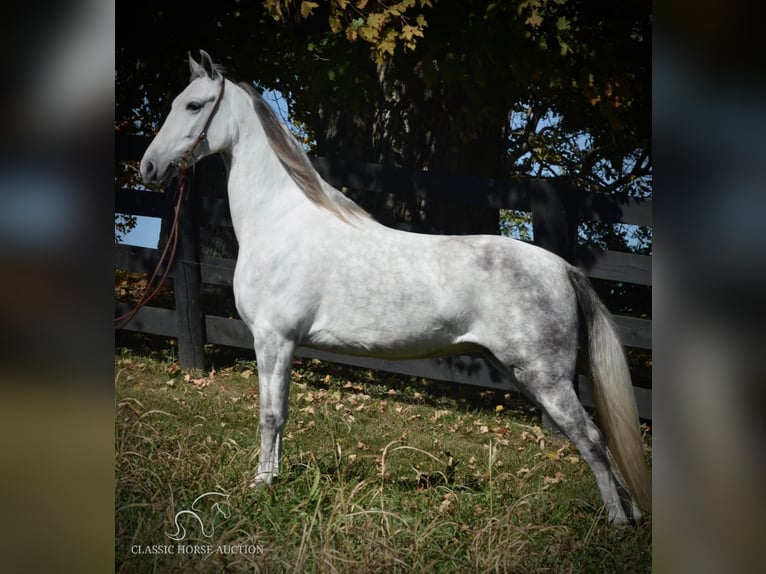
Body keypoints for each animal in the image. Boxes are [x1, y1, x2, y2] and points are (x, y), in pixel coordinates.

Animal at [141, 50, 652, 528]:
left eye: (193, 105)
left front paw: (260, 485)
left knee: (592, 440)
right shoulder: (278, 344)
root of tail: (563, 268)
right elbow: (279, 414)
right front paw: (273, 478)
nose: (148, 167)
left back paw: (616, 521)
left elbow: (271, 415)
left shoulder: (274, 339)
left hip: (546, 379)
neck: (281, 223)